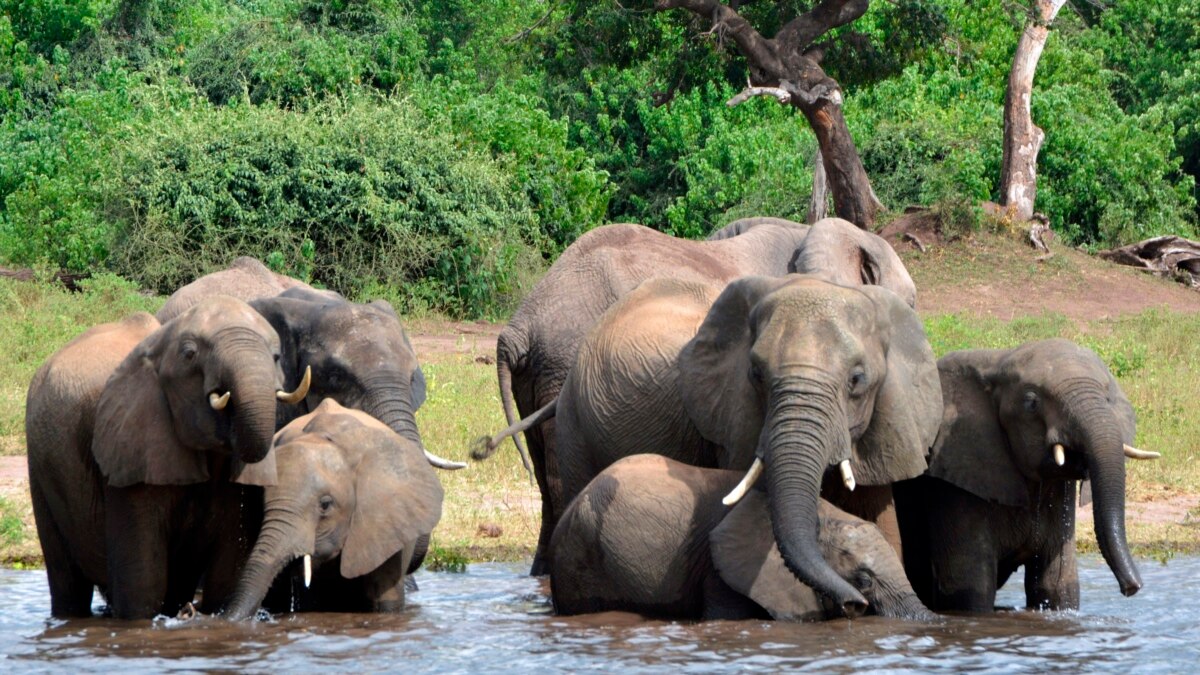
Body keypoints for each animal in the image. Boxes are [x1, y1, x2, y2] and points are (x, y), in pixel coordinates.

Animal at [26, 296, 310, 618]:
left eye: (276, 357)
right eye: (190, 355)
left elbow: (227, 573)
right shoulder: (131, 446)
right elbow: (142, 582)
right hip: (41, 467)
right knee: (67, 581)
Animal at [893, 339, 1157, 612]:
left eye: (1107, 398)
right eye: (1031, 403)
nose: (1131, 588)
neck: (997, 362)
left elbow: (1057, 586)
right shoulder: (954, 481)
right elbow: (970, 591)